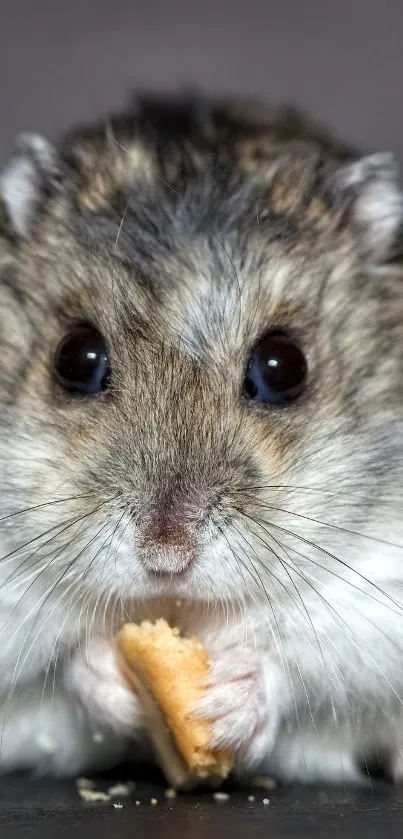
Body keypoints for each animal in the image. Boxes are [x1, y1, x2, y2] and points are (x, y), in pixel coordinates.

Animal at [0, 95, 403, 784]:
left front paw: (223, 704)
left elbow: (298, 660)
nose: (166, 559)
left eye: (283, 367)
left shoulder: (377, 595)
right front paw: (112, 676)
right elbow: (61, 667)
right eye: (75, 358)